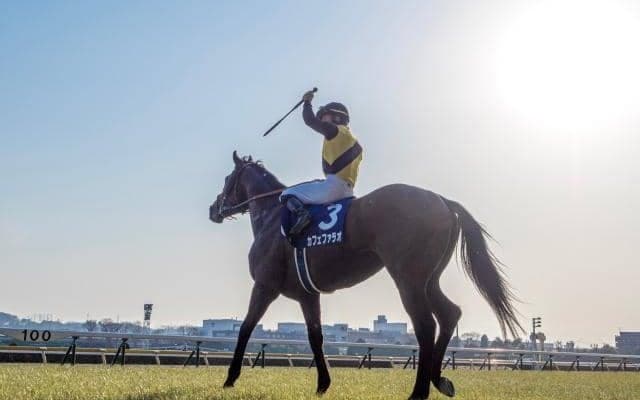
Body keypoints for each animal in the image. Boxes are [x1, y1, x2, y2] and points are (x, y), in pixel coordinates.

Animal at [209, 151, 522, 400]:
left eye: (227, 178)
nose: (214, 209)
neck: (273, 217)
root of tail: (442, 200)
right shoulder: (307, 294)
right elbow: (315, 336)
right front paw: (323, 384)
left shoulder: (264, 286)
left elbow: (245, 328)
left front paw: (230, 378)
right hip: (428, 278)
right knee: (449, 313)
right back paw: (439, 380)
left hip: (408, 278)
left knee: (425, 324)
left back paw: (419, 392)